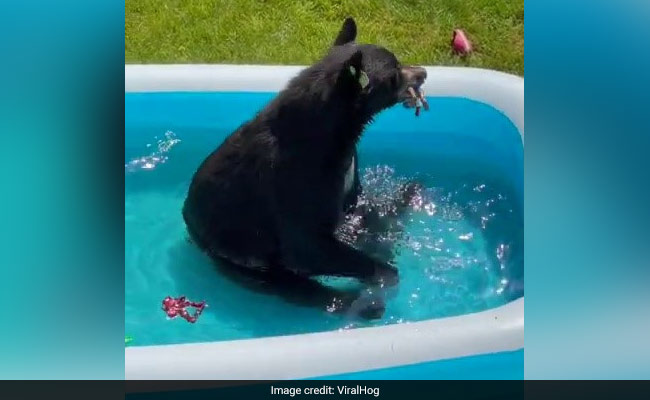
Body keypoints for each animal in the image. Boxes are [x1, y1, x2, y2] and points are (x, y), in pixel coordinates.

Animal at [182, 17, 428, 319]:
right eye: (394, 72)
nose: (423, 72)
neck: (334, 135)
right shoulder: (297, 187)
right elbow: (308, 247)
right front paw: (383, 274)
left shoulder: (347, 182)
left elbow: (363, 213)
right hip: (245, 258)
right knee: (300, 288)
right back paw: (363, 305)